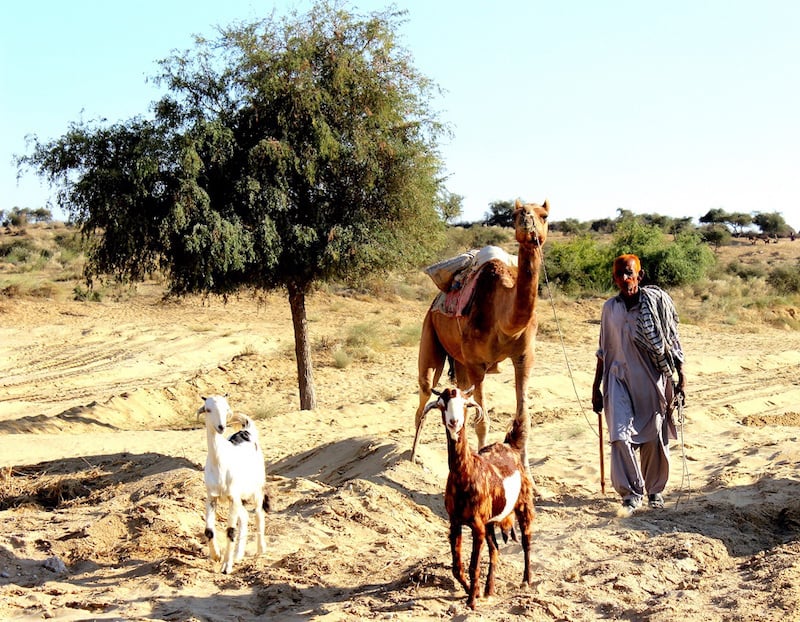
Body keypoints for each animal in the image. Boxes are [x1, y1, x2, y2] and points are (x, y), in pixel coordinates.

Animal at [198, 394, 270, 576]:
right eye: (208, 409)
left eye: (226, 408)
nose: (221, 427)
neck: (220, 462)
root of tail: (247, 431)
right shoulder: (212, 497)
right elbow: (209, 530)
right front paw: (216, 555)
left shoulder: (232, 497)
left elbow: (230, 531)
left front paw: (226, 566)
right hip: (239, 498)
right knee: (244, 517)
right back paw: (238, 554)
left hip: (257, 489)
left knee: (258, 515)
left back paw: (261, 549)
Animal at [412, 201, 552, 472]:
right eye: (516, 214)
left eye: (544, 216)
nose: (527, 221)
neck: (505, 320)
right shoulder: (477, 364)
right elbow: (482, 420)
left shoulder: (524, 357)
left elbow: (523, 419)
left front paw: (526, 470)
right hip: (430, 330)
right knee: (424, 394)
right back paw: (412, 457)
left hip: (460, 361)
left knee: (458, 397)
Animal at [428, 388, 536, 612]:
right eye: (442, 404)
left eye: (465, 404)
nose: (454, 422)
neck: (466, 474)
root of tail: (509, 445)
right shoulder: (455, 522)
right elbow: (456, 567)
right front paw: (474, 591)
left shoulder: (477, 525)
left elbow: (473, 565)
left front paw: (471, 600)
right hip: (490, 523)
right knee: (495, 550)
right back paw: (489, 589)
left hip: (523, 505)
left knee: (526, 541)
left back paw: (526, 581)